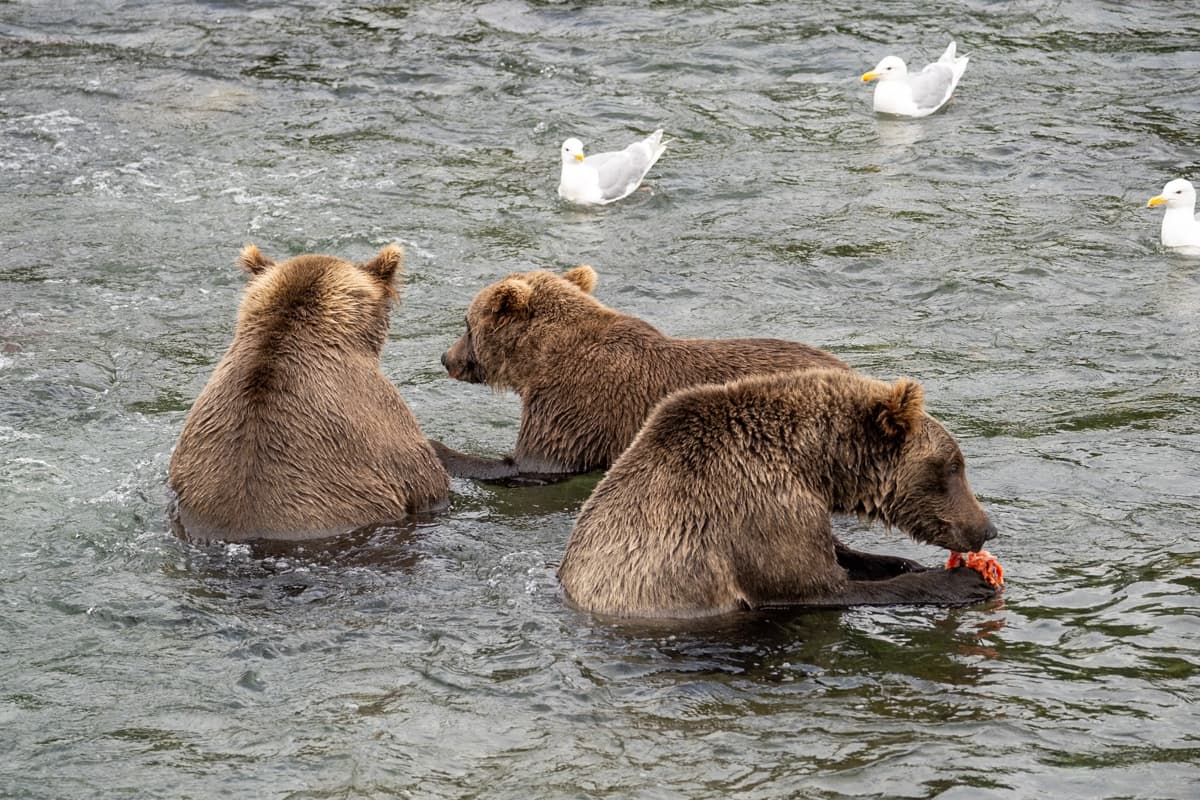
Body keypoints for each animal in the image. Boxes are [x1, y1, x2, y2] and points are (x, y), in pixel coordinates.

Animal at [434, 266, 848, 480]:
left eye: (466, 324)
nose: (445, 357)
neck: (538, 360)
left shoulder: (573, 405)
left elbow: (531, 463)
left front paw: (441, 448)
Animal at [557, 368, 998, 618]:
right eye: (954, 466)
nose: (987, 527)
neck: (812, 464)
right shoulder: (759, 511)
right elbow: (819, 586)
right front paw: (963, 582)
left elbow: (848, 555)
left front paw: (911, 563)